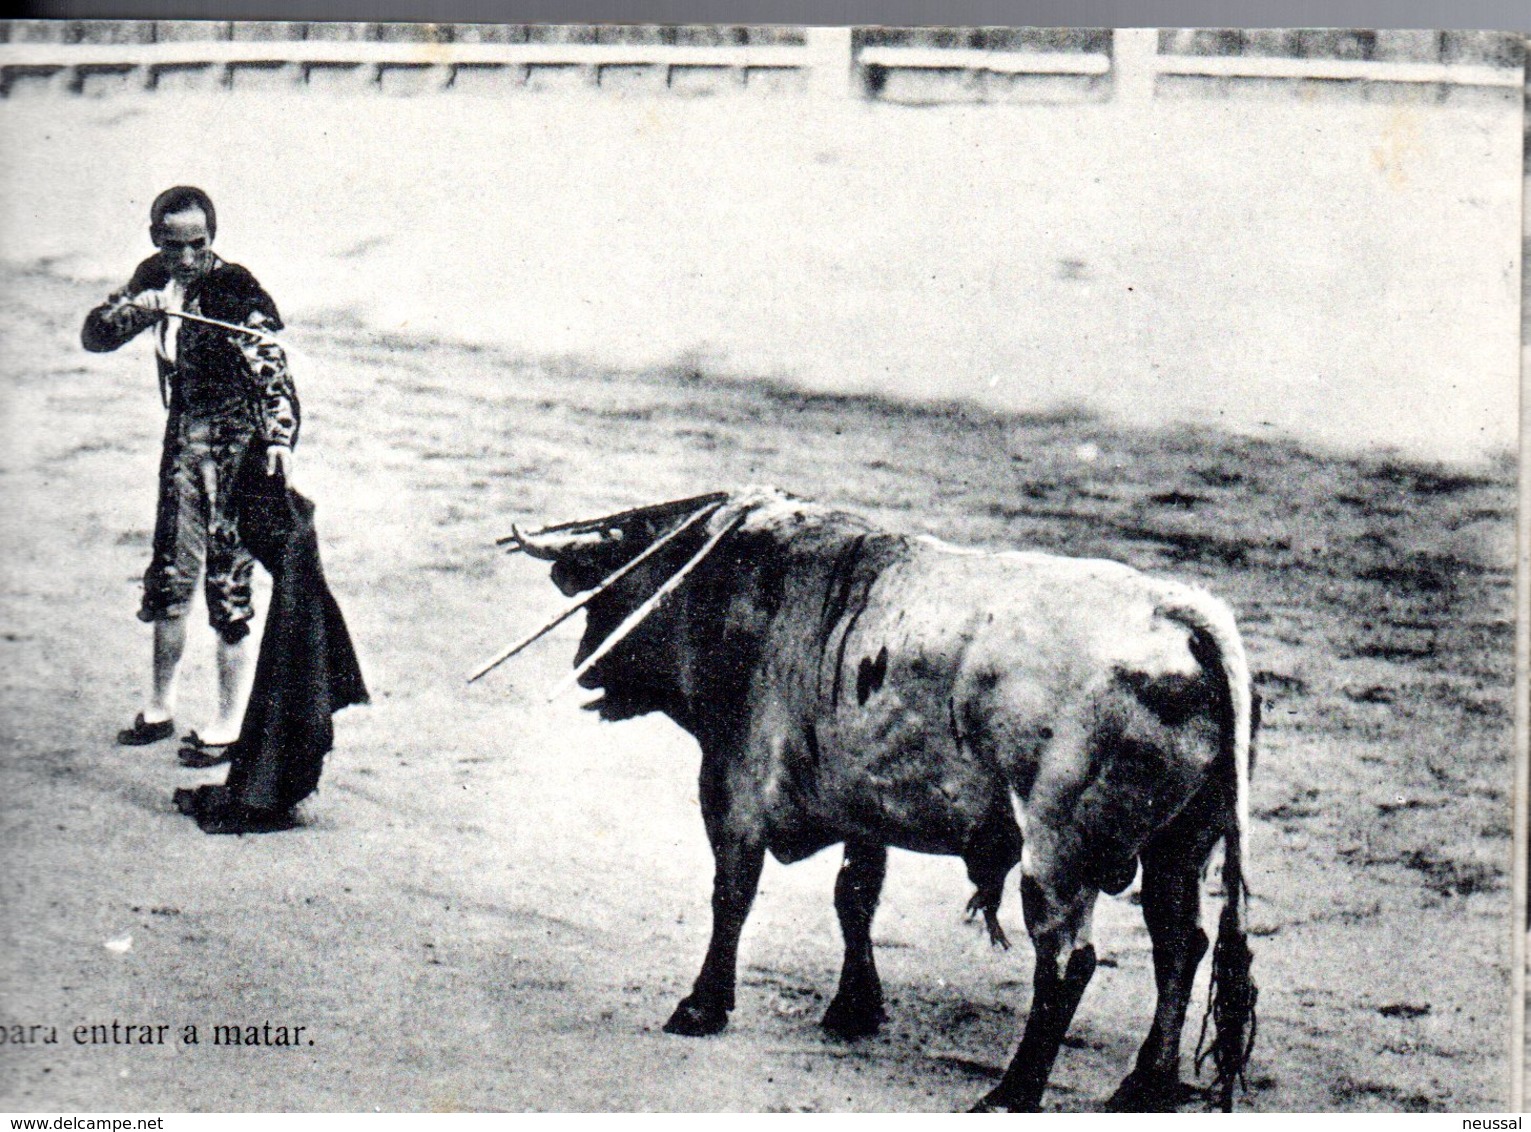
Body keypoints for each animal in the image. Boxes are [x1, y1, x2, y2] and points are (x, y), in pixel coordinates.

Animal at [502, 490, 1255, 1115]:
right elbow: (854, 896)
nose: (586, 669)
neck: (736, 586)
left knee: (1068, 961)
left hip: (1058, 850)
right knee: (1179, 942)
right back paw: (1145, 1084)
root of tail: (1179, 616)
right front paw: (854, 1007)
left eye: (606, 595)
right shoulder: (864, 801)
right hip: (1180, 844)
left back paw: (1012, 1092)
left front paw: (701, 1006)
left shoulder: (732, 789)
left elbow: (732, 896)